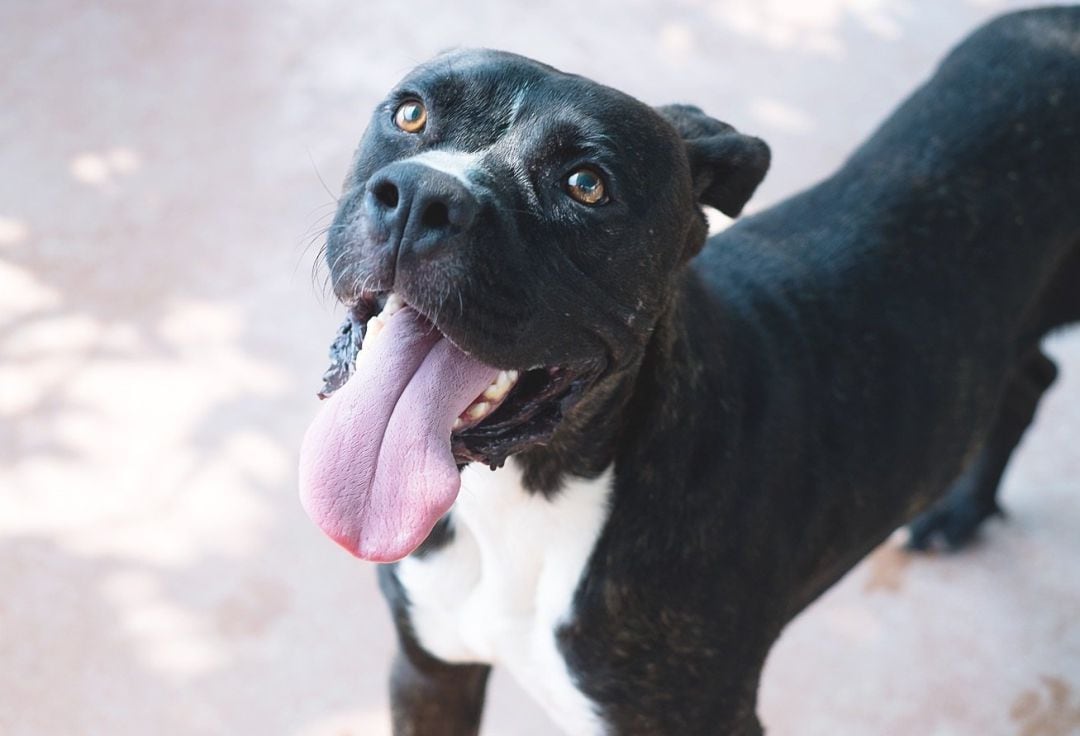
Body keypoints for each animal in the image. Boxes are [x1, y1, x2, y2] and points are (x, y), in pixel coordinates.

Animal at [298, 8, 1080, 730]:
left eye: (586, 184)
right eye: (410, 113)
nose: (422, 197)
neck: (530, 498)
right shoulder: (430, 672)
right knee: (1029, 376)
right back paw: (963, 511)